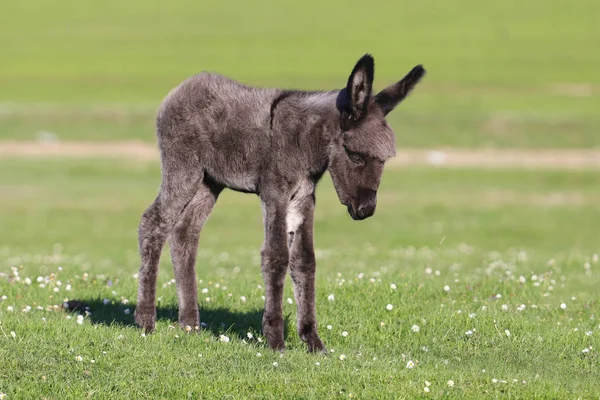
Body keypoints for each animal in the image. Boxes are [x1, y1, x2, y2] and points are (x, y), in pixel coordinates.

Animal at [136, 54, 426, 352]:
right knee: (154, 223)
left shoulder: (304, 198)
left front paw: (313, 341)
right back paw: (146, 321)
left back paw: (190, 325)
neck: (305, 143)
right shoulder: (275, 193)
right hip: (184, 169)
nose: (366, 210)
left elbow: (305, 261)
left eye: (383, 161)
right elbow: (275, 256)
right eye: (356, 156)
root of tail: (184, 87)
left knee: (184, 233)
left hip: (209, 182)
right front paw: (275, 340)